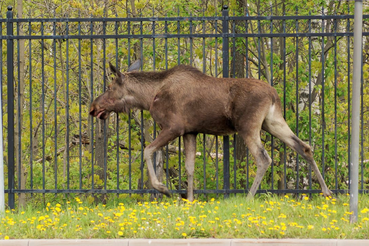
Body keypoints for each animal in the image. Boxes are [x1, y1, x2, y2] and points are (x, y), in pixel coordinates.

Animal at [90, 60, 332, 202]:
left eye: (109, 87)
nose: (93, 107)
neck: (149, 98)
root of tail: (273, 94)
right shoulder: (190, 131)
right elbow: (189, 167)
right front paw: (188, 199)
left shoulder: (174, 127)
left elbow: (147, 150)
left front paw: (164, 188)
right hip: (272, 122)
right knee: (304, 147)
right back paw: (327, 191)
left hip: (248, 126)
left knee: (264, 158)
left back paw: (248, 198)